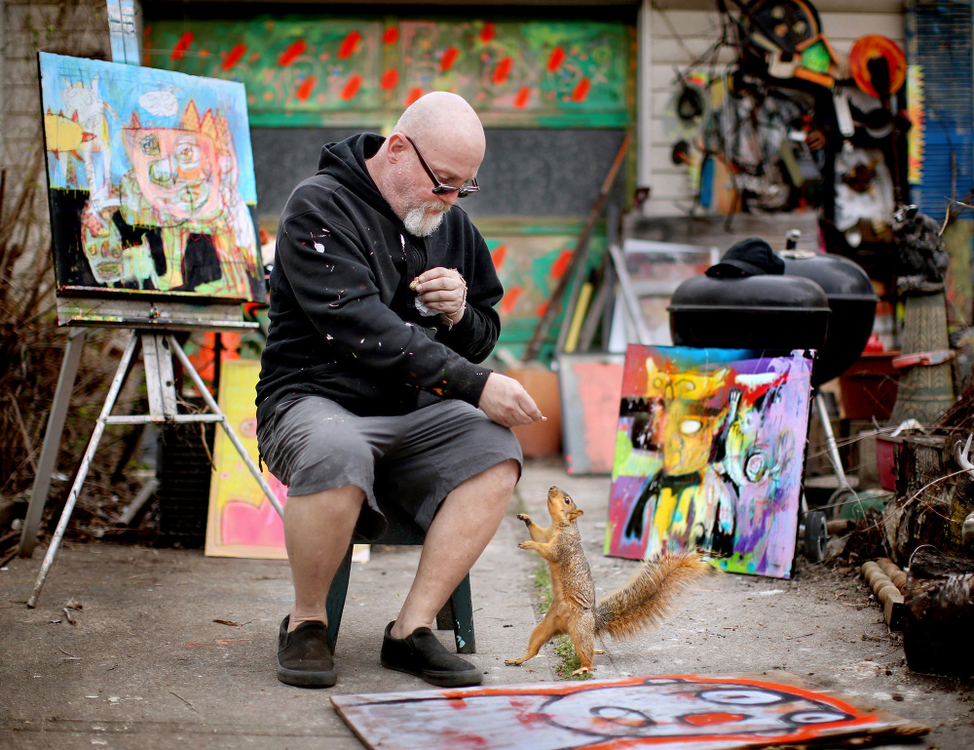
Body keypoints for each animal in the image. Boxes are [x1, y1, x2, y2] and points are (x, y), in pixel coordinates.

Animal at [508, 484, 712, 680]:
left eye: (566, 500)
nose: (551, 487)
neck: (560, 525)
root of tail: (590, 624)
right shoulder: (546, 534)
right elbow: (538, 535)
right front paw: (525, 518)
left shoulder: (563, 545)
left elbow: (548, 551)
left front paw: (529, 544)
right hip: (546, 625)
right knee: (535, 645)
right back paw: (518, 659)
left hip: (579, 629)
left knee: (587, 655)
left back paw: (582, 668)